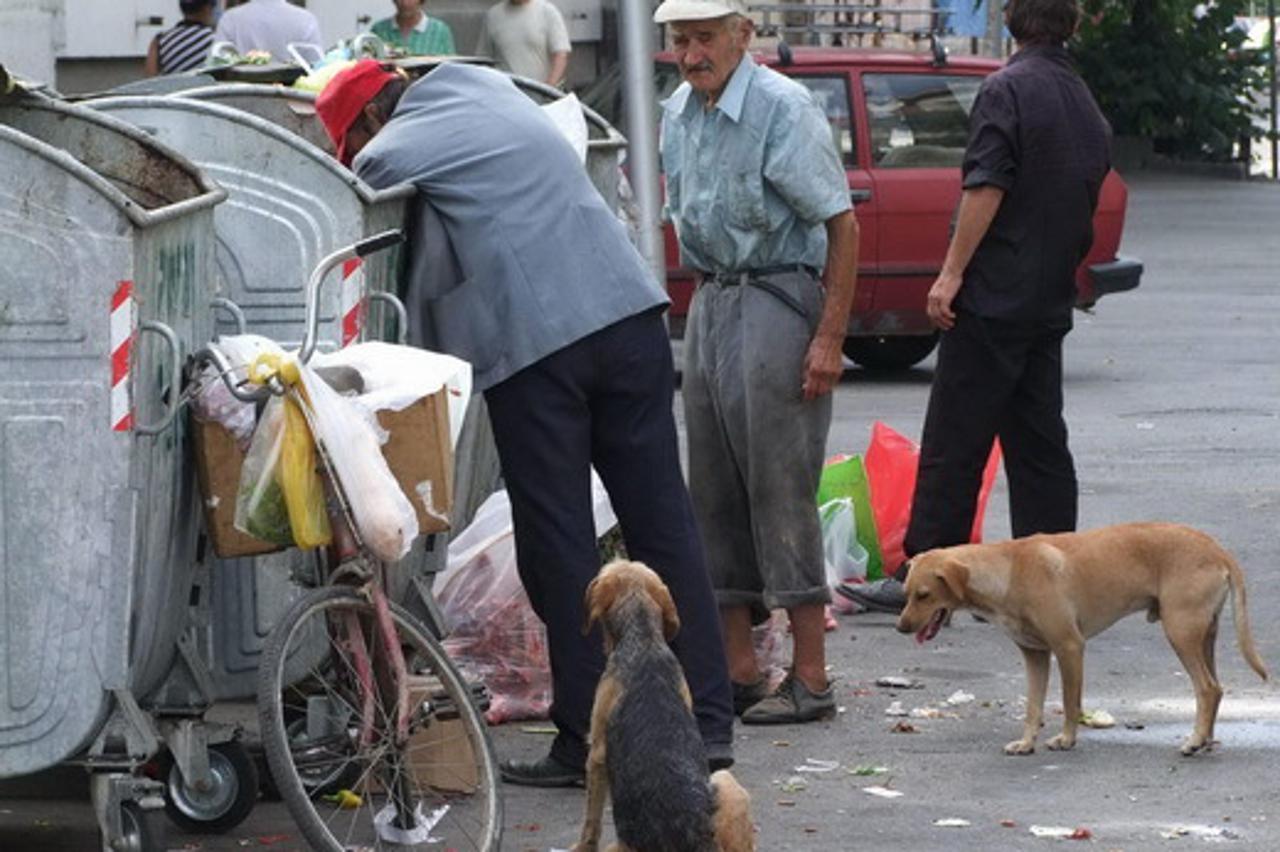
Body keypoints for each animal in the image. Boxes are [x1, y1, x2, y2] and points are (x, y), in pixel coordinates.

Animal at [901, 521, 1269, 752]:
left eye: (924, 595)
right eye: (906, 593)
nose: (901, 627)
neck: (1007, 570)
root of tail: (1217, 549)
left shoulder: (1069, 647)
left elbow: (1068, 702)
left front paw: (1066, 739)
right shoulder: (1035, 655)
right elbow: (1033, 706)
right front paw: (1027, 743)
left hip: (1180, 631)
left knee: (1207, 689)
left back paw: (1193, 741)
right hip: (1204, 636)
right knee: (1216, 689)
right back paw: (1205, 739)